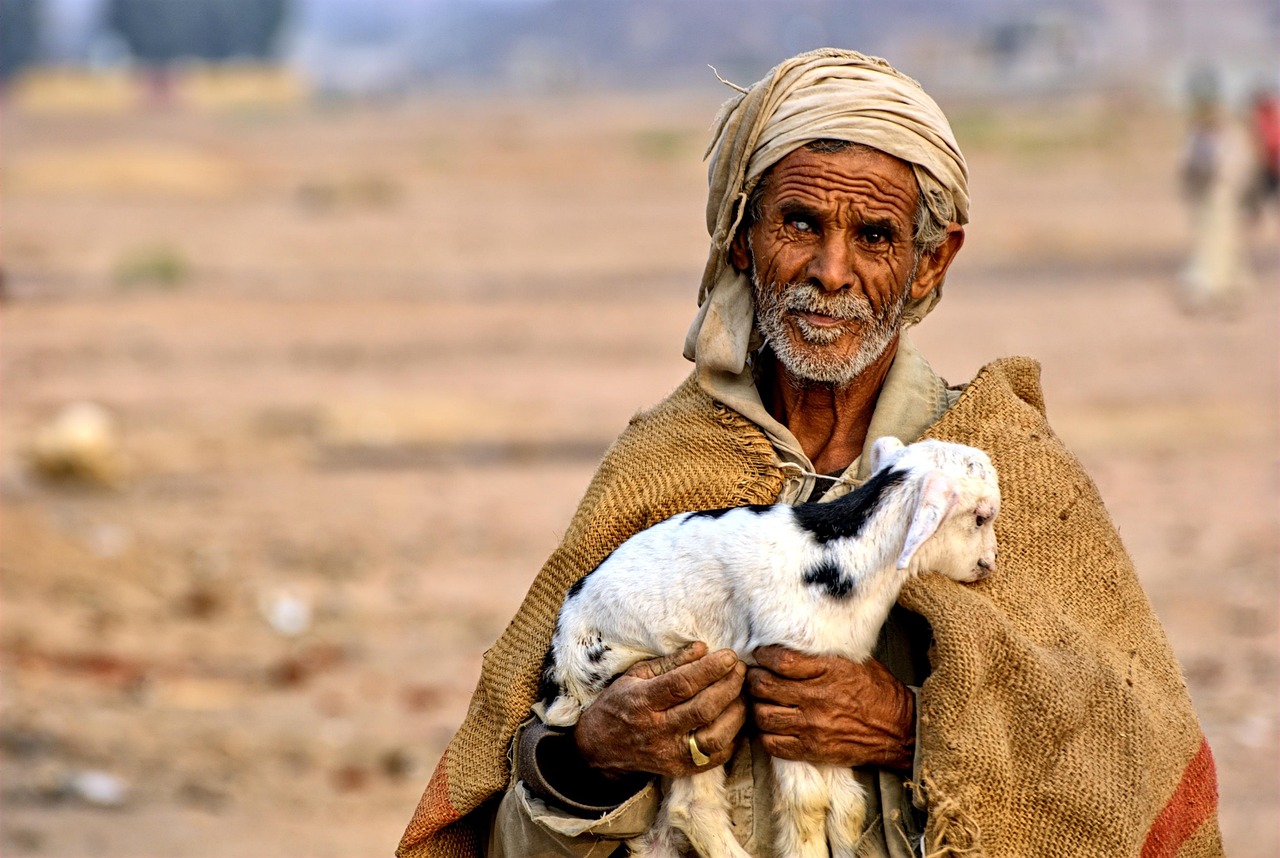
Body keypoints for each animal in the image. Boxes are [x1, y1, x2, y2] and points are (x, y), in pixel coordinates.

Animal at [539, 436, 1000, 858]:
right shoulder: (781, 670)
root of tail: (560, 672)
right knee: (694, 806)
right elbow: (807, 802)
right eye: (980, 518)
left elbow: (847, 804)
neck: (842, 553)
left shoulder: (826, 691)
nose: (989, 565)